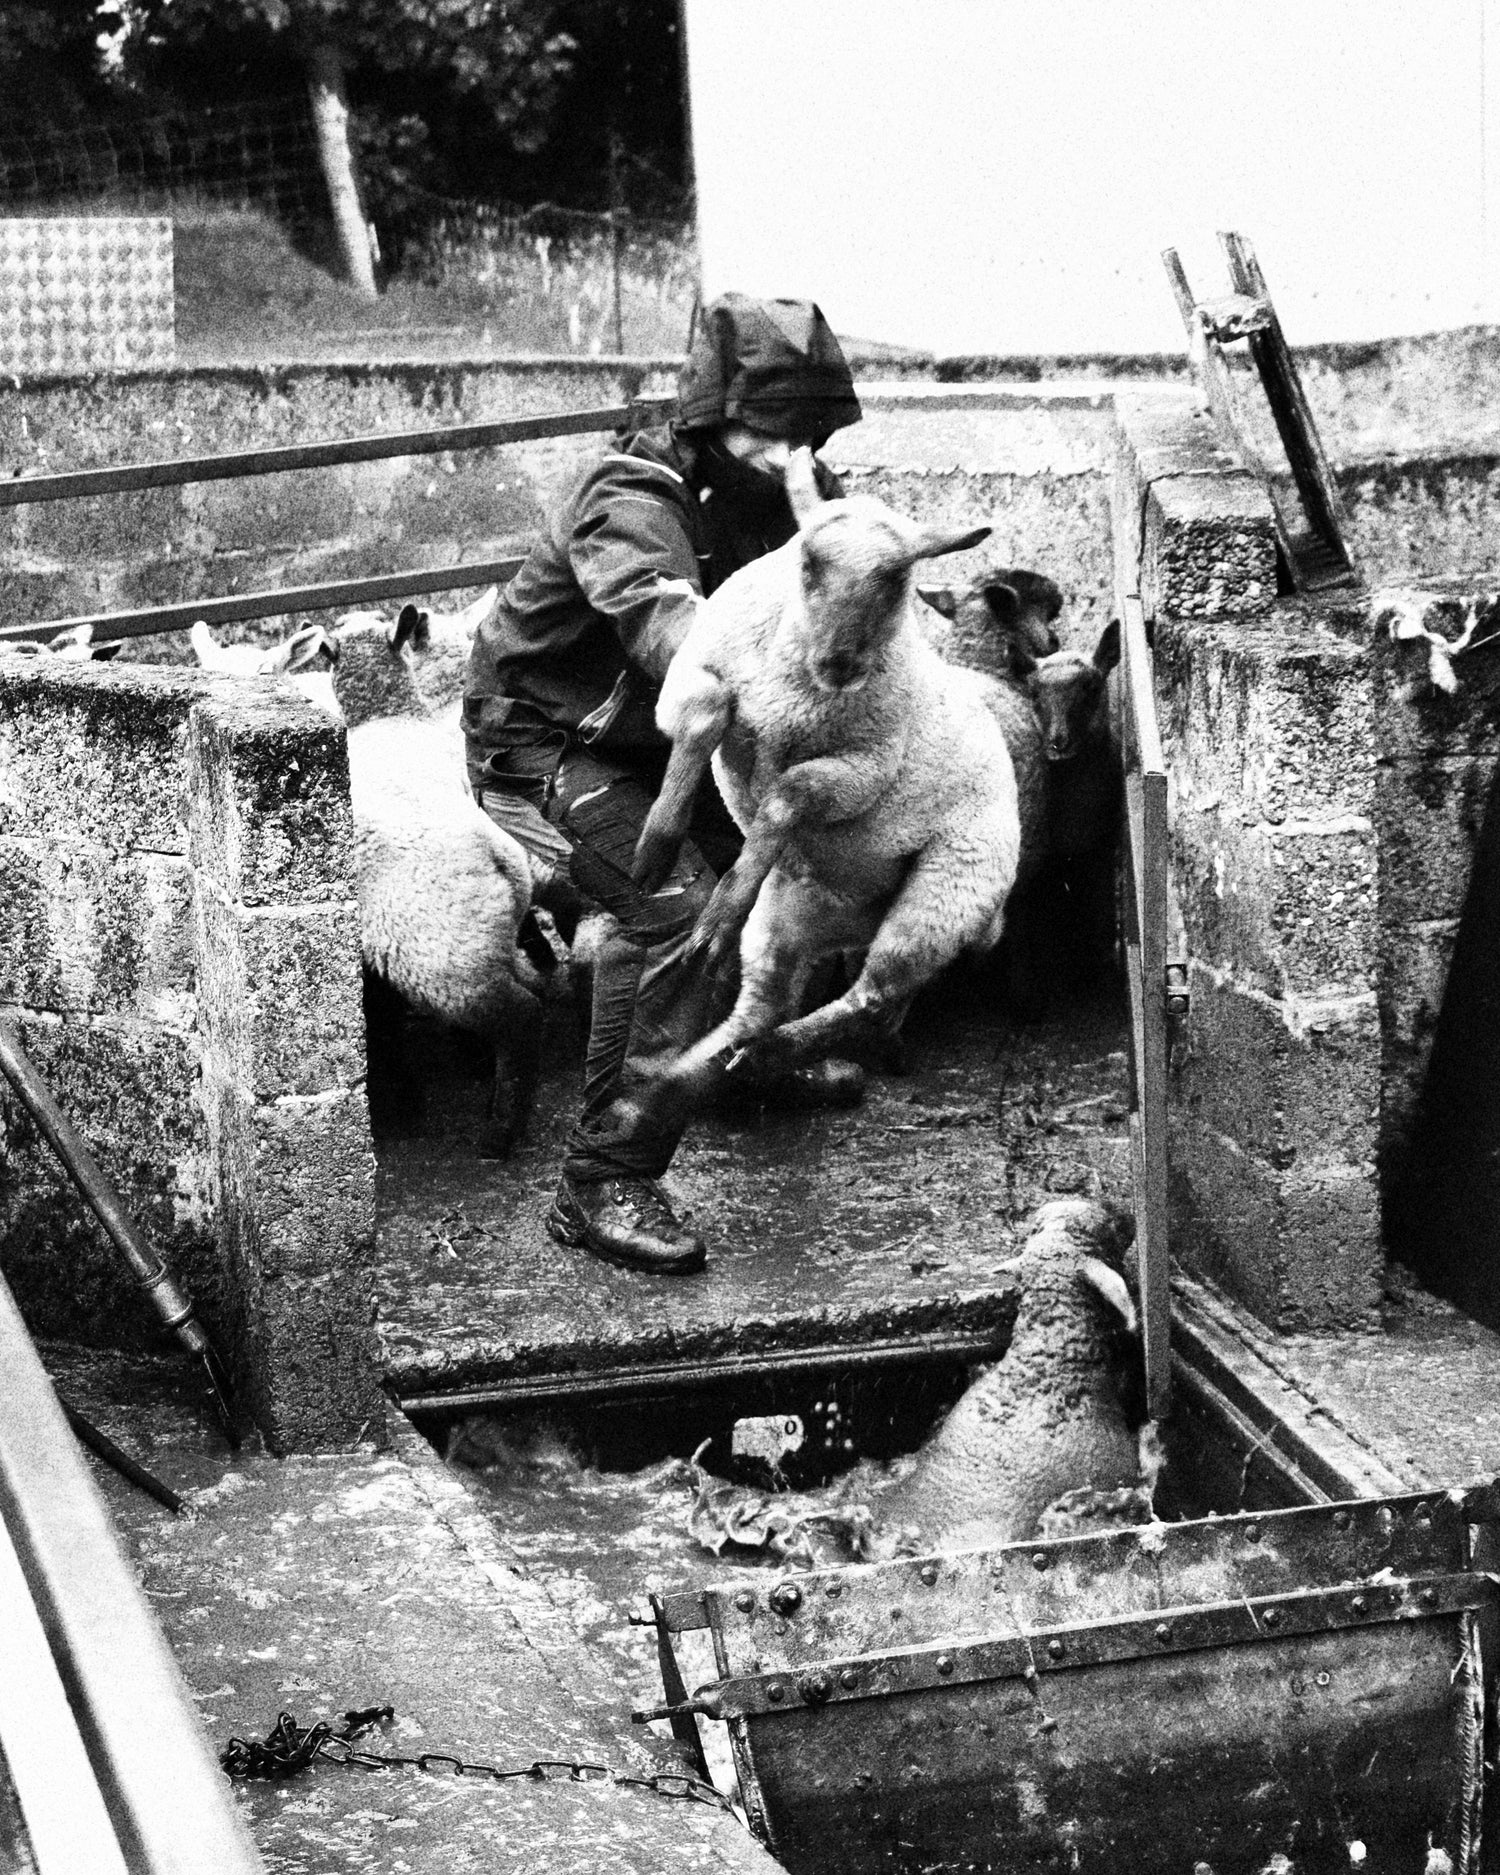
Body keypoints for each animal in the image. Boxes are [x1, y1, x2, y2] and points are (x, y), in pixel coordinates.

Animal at [626, 442, 1027, 1110]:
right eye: (808, 560)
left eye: (895, 577)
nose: (839, 663)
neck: (796, 692)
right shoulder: (695, 672)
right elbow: (707, 717)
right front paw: (655, 849)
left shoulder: (862, 768)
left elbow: (784, 797)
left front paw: (718, 908)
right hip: (792, 910)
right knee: (768, 1004)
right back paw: (681, 1080)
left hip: (944, 894)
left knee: (870, 1000)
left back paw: (762, 1055)